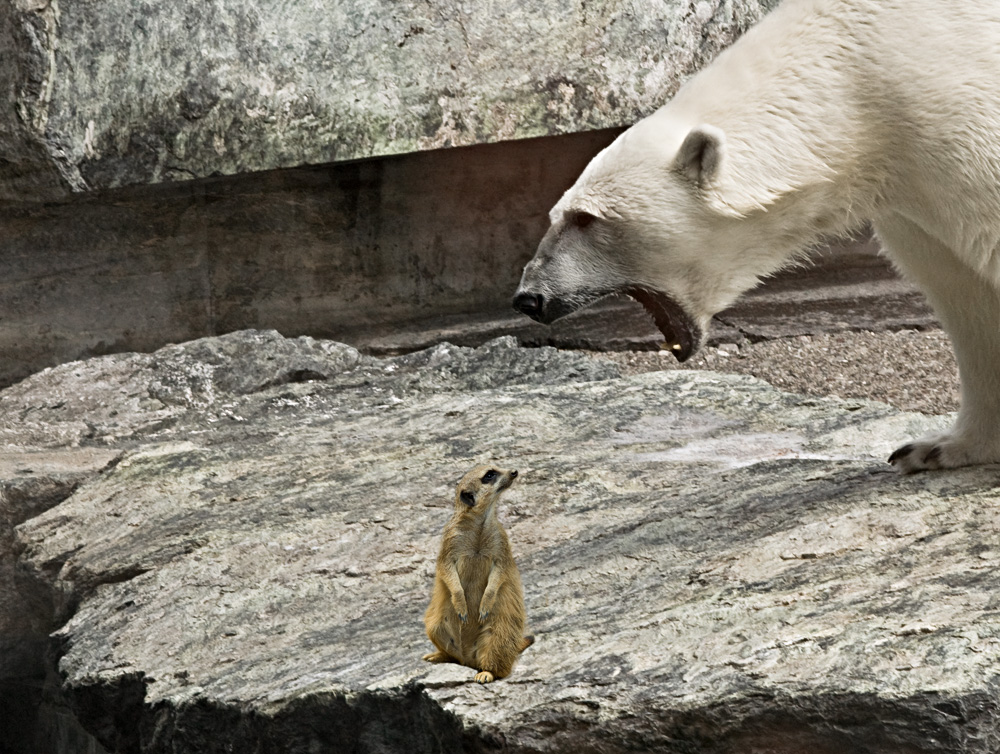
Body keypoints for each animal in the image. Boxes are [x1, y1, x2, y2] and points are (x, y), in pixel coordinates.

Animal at [512, 0, 1000, 470]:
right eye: (557, 213)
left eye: (586, 218)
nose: (529, 298)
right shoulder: (910, 194)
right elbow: (959, 289)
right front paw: (940, 447)